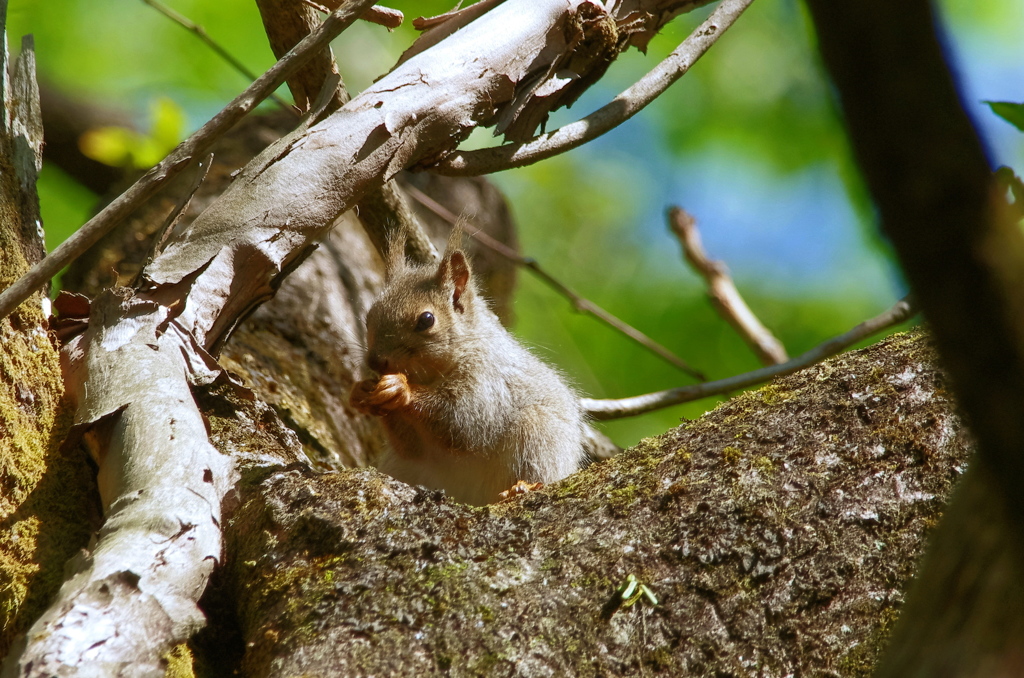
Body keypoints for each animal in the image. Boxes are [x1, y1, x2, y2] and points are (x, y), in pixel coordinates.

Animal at [352, 231, 589, 507]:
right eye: (369, 317)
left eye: (426, 320)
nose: (375, 362)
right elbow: (411, 448)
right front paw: (360, 392)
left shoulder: (488, 381)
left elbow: (464, 421)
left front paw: (402, 389)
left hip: (538, 435)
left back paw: (521, 488)